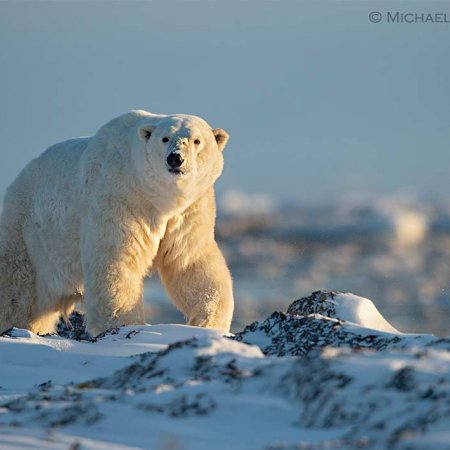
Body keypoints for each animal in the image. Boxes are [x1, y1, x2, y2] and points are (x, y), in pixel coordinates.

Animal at [0, 110, 234, 334]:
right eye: (165, 138)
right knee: (16, 291)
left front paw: (207, 321)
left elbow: (190, 262)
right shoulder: (121, 196)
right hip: (29, 237)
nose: (175, 158)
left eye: (196, 140)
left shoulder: (189, 211)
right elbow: (117, 259)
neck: (157, 198)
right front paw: (125, 324)